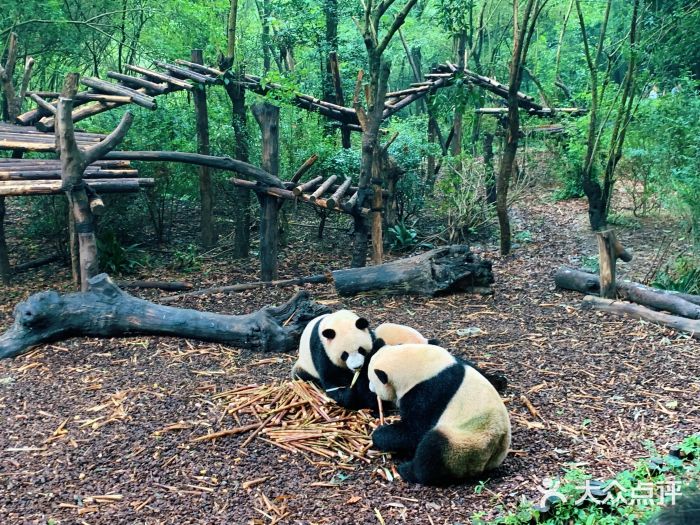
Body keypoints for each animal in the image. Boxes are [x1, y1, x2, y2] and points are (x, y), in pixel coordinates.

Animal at [366, 342, 508, 486]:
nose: (370, 388)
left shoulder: (429, 392)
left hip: (466, 444)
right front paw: (498, 380)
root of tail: (491, 459)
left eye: (371, 380)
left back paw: (407, 471)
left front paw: (378, 434)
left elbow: (415, 431)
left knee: (433, 449)